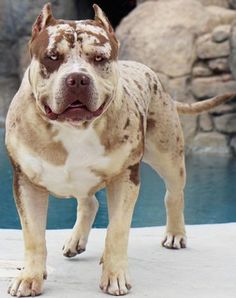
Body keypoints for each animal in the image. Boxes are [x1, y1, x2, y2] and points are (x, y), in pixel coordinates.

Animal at [5, 2, 234, 298]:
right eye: (52, 57)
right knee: (89, 202)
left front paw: (115, 275)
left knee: (174, 194)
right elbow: (33, 236)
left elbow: (117, 231)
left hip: (168, 157)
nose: (77, 78)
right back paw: (76, 240)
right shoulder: (26, 183)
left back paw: (175, 233)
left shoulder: (125, 178)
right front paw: (30, 276)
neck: (74, 129)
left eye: (99, 58)